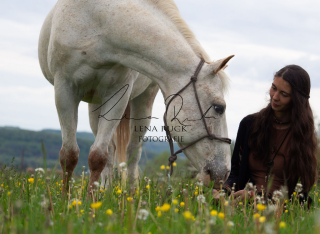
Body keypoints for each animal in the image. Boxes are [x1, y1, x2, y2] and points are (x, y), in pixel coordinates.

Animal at [38, 0, 234, 190]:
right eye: (219, 108)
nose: (223, 174)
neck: (99, 20)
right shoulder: (64, 90)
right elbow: (69, 155)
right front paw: (68, 199)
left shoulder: (117, 95)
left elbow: (98, 156)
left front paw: (91, 200)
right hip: (95, 103)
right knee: (111, 151)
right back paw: (104, 191)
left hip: (143, 101)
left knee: (131, 151)